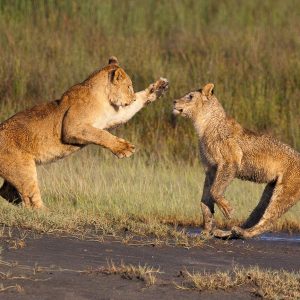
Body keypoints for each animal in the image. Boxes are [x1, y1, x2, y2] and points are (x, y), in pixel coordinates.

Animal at [0, 57, 169, 210]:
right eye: (129, 86)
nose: (132, 99)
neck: (104, 97)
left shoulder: (113, 116)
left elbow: (133, 107)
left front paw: (159, 87)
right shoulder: (72, 127)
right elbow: (101, 135)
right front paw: (124, 149)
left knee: (6, 192)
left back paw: (17, 201)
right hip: (24, 170)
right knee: (31, 198)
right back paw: (47, 212)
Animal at [172, 83, 300, 238]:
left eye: (190, 96)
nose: (174, 102)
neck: (203, 126)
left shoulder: (230, 162)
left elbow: (215, 191)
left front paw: (228, 210)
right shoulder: (211, 168)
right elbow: (205, 199)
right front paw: (206, 231)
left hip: (285, 191)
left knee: (269, 219)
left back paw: (243, 233)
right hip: (269, 190)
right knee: (256, 214)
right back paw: (227, 232)